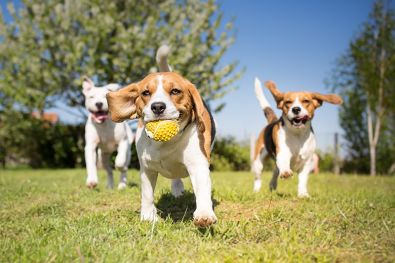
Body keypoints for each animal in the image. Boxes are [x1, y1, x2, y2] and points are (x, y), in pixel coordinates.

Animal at [105, 47, 218, 229]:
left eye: (175, 91)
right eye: (145, 93)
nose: (157, 106)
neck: (165, 143)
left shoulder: (198, 165)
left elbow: (202, 190)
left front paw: (204, 214)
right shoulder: (146, 169)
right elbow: (147, 194)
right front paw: (148, 217)